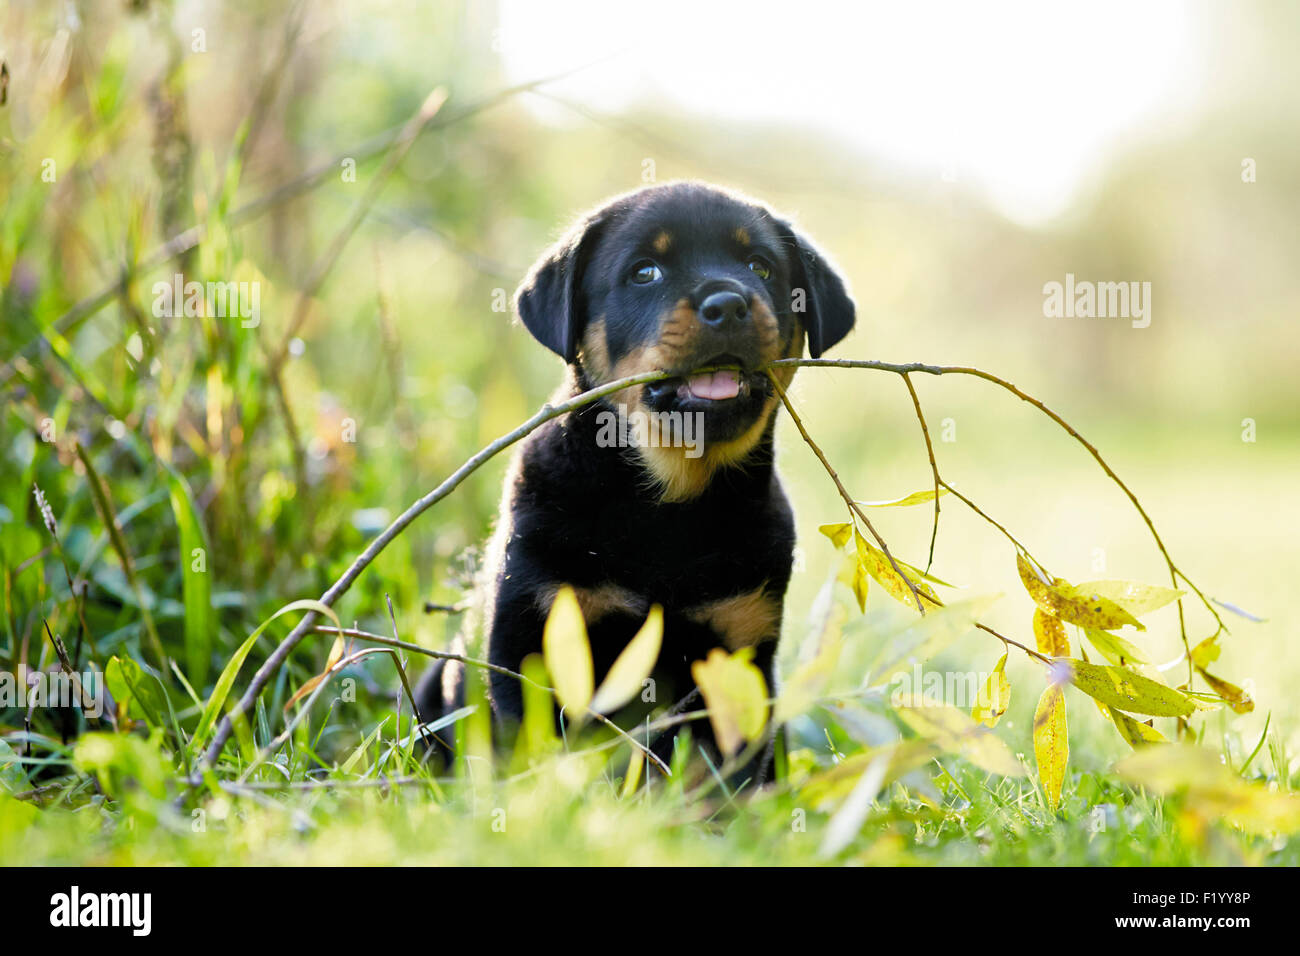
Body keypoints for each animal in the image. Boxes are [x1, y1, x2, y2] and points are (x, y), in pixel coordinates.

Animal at [416, 183, 857, 780]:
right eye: (645, 272)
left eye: (759, 266)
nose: (728, 304)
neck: (669, 501)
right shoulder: (530, 641)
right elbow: (532, 756)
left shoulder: (738, 654)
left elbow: (714, 779)